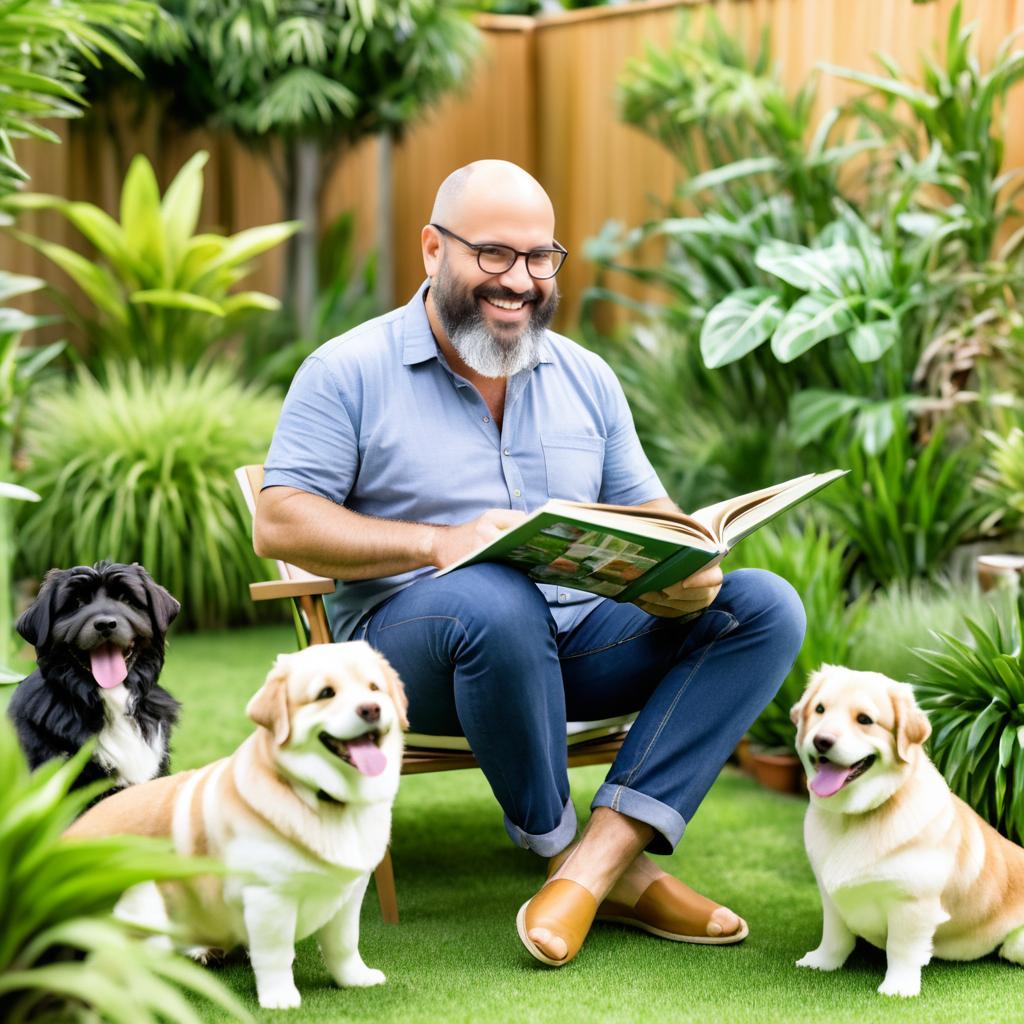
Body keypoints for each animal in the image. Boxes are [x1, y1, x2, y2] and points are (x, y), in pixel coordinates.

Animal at [61, 643, 407, 1011]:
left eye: (374, 688)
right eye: (326, 693)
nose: (371, 708)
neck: (324, 801)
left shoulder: (348, 894)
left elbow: (344, 944)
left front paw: (355, 979)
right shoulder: (268, 898)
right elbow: (275, 955)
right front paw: (279, 997)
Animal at [790, 667, 1024, 995]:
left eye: (865, 719)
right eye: (820, 709)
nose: (822, 741)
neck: (854, 818)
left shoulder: (913, 904)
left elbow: (901, 949)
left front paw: (898, 988)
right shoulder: (830, 896)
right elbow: (834, 936)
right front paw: (822, 963)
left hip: (1016, 945)